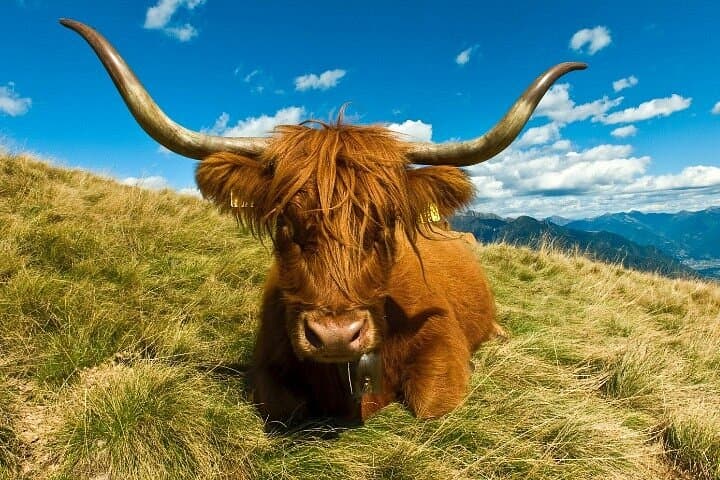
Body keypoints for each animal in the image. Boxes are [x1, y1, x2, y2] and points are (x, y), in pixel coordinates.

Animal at [60, 19, 586, 424]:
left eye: (385, 224)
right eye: (285, 222)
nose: (335, 335)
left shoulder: (444, 343)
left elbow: (431, 405)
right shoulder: (266, 360)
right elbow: (283, 407)